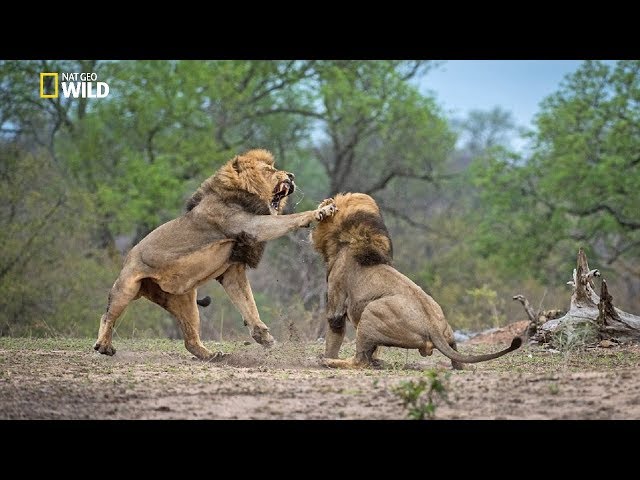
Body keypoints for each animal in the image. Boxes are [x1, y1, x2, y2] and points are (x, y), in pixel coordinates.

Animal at [94, 148, 340, 358]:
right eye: (269, 170)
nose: (291, 175)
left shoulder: (232, 270)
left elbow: (248, 304)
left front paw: (264, 337)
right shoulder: (252, 226)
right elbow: (289, 219)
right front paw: (321, 210)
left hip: (186, 302)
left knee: (190, 340)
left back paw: (211, 355)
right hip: (126, 286)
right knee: (107, 315)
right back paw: (103, 345)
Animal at [310, 193, 520, 370]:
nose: (322, 204)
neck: (346, 240)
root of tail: (434, 328)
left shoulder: (337, 299)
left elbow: (334, 331)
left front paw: (328, 356)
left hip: (372, 312)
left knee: (360, 361)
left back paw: (328, 361)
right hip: (447, 333)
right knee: (458, 362)